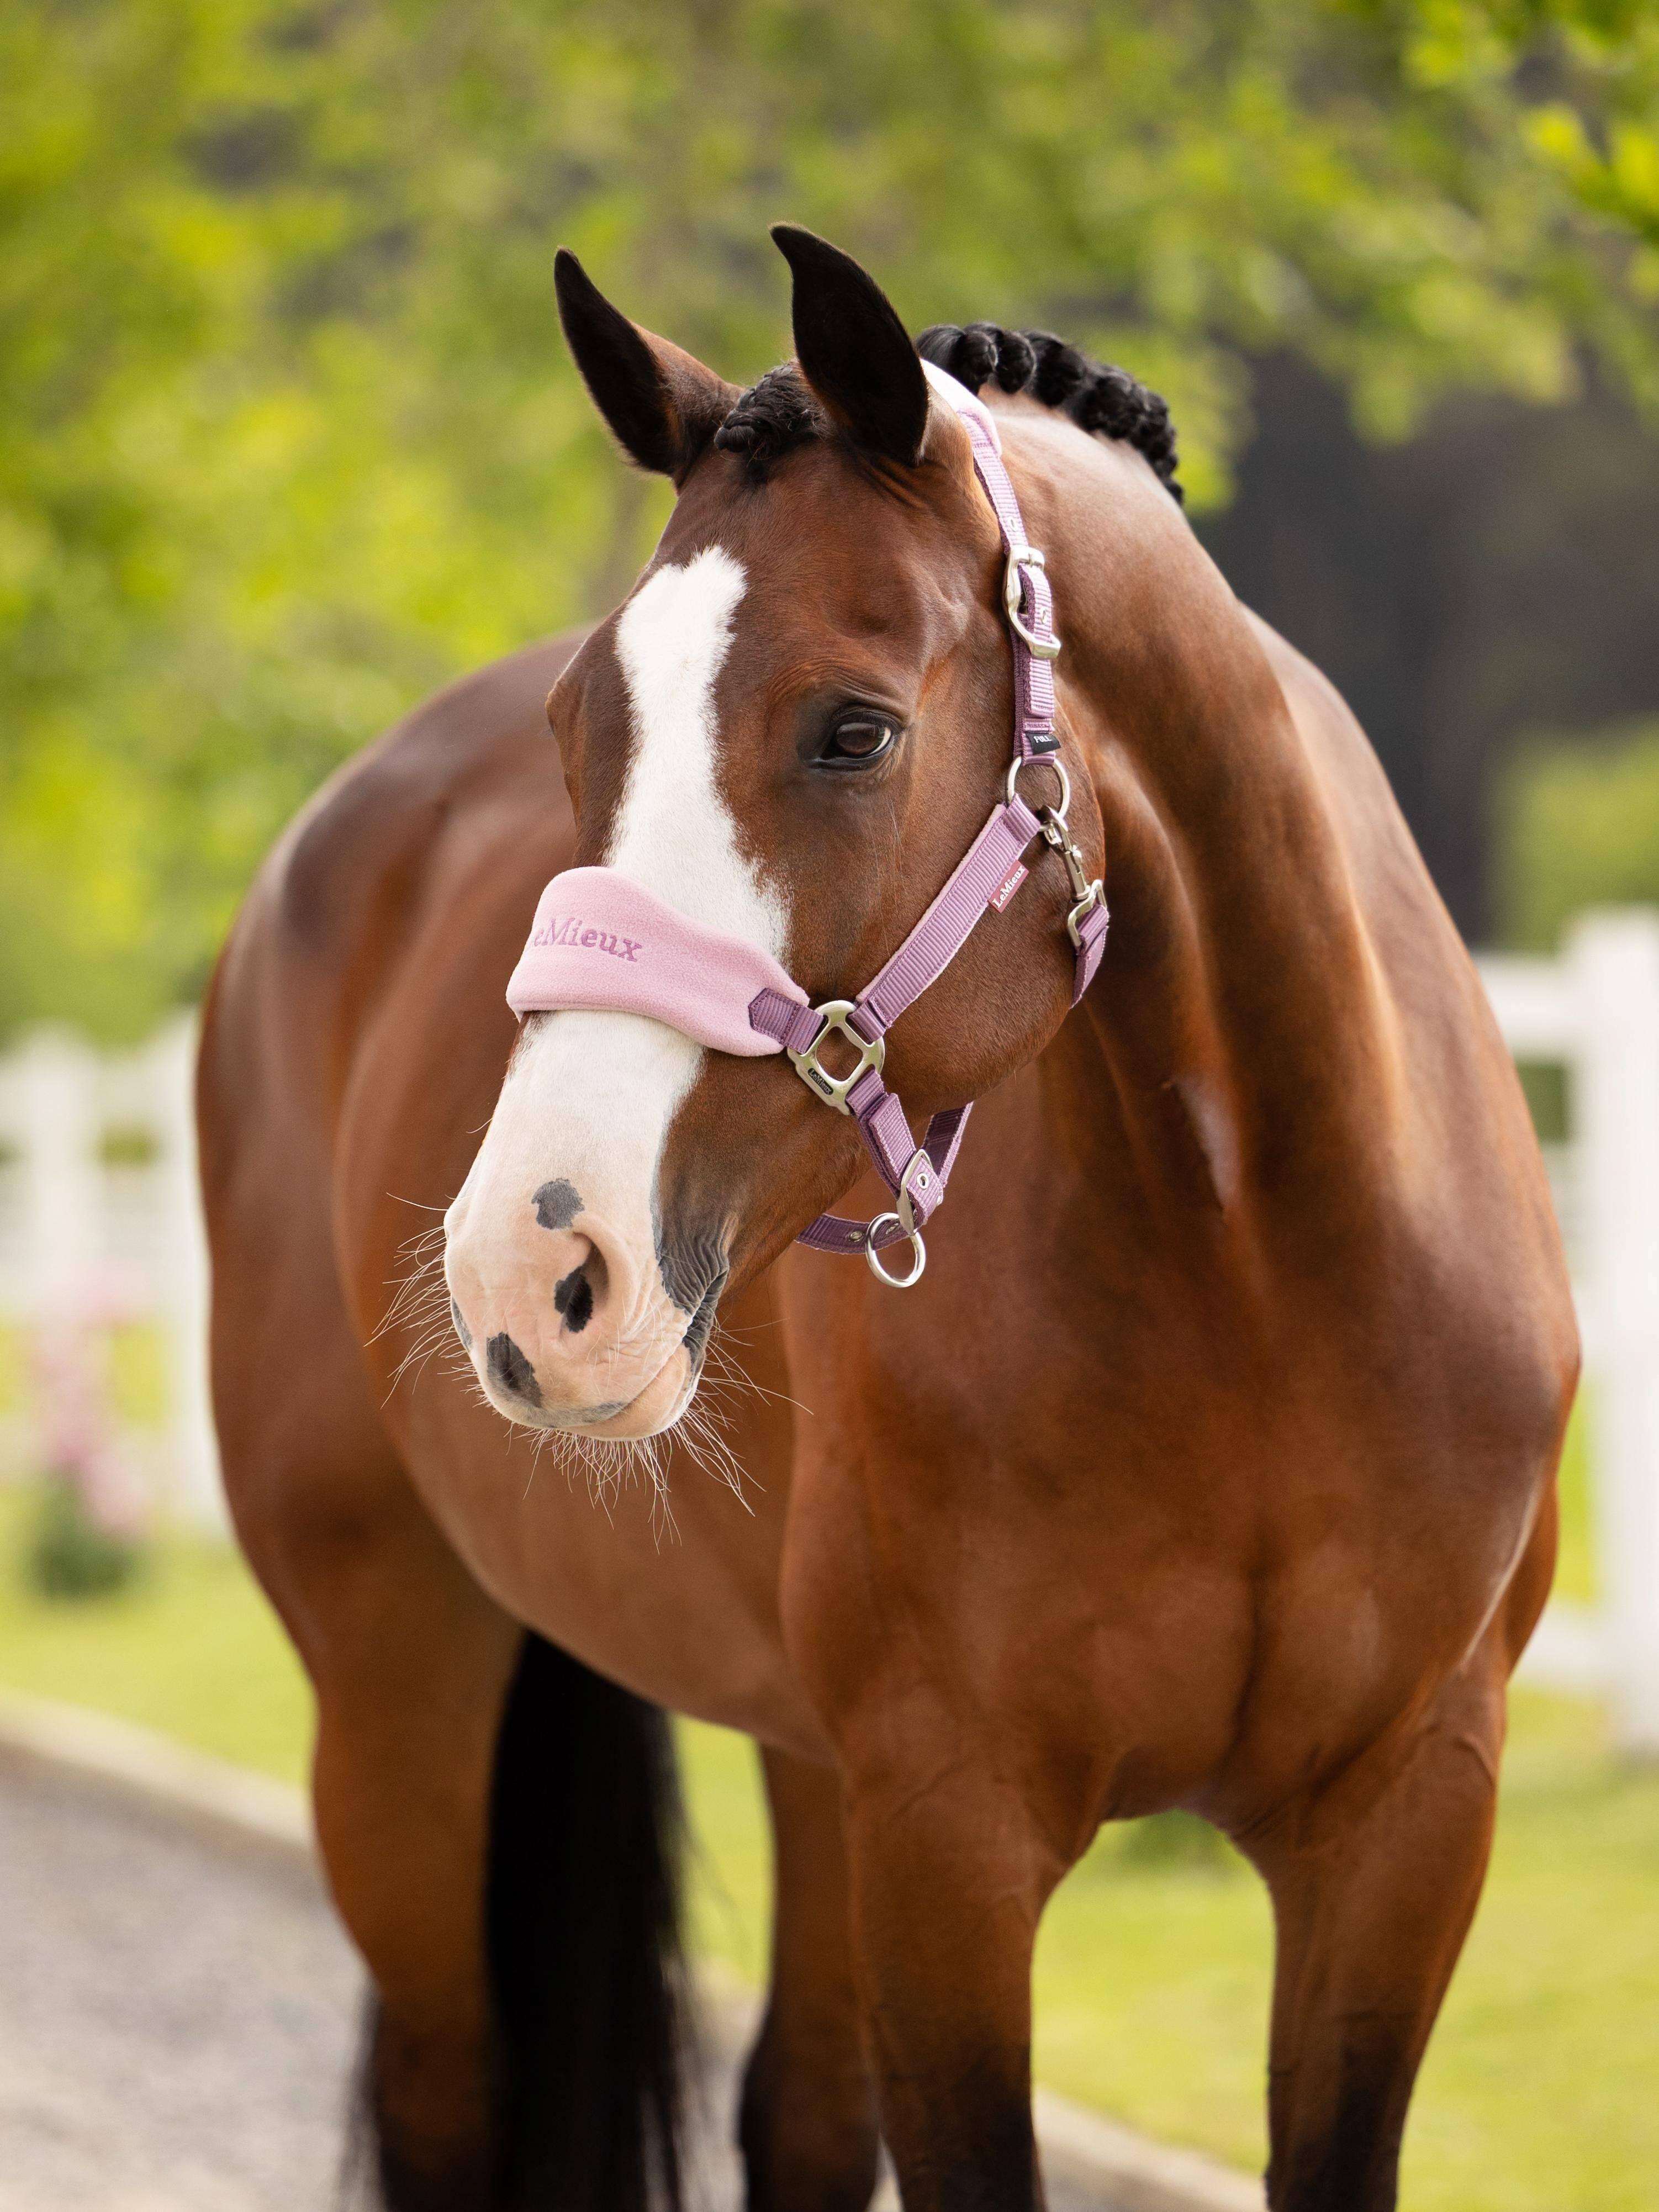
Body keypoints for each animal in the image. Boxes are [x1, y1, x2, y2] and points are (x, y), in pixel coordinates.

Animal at [197, 225, 1576, 2212]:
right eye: (575, 725)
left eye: (851, 728)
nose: (530, 1263)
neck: (1260, 1269)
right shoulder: (947, 1829)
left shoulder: (1403, 1825)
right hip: (395, 1683)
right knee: (452, 2086)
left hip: (800, 1756)